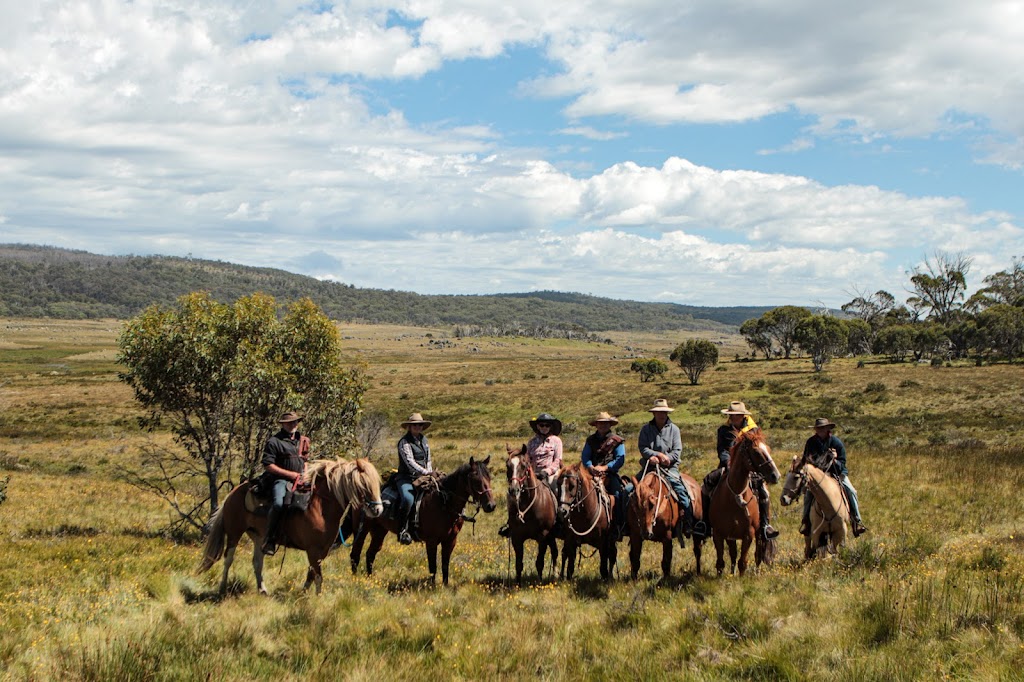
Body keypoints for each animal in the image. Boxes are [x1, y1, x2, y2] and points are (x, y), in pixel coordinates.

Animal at [196, 456, 385, 593]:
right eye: (364, 484)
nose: (378, 510)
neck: (320, 507)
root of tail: (233, 493)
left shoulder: (321, 551)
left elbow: (311, 574)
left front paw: (304, 594)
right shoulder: (313, 550)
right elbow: (318, 577)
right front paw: (317, 599)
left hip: (259, 537)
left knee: (257, 562)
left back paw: (262, 589)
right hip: (234, 533)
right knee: (228, 559)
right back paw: (222, 588)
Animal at [350, 454, 497, 581]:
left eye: (489, 478)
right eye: (476, 480)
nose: (491, 505)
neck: (444, 503)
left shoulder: (450, 540)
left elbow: (445, 566)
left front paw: (445, 586)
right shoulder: (431, 541)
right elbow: (433, 567)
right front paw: (432, 588)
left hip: (379, 531)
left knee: (370, 553)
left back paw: (370, 579)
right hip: (362, 530)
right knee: (355, 554)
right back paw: (357, 580)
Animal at [503, 444, 561, 581]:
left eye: (524, 465)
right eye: (507, 465)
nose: (514, 490)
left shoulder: (543, 536)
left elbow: (539, 562)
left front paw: (539, 582)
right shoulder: (517, 537)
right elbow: (518, 564)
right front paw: (518, 583)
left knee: (555, 552)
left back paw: (555, 575)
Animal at [708, 430, 778, 573]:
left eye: (768, 449)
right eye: (756, 452)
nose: (775, 475)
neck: (735, 496)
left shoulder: (749, 534)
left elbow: (743, 562)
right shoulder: (719, 533)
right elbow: (721, 562)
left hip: (759, 533)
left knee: (758, 555)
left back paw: (757, 573)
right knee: (733, 554)